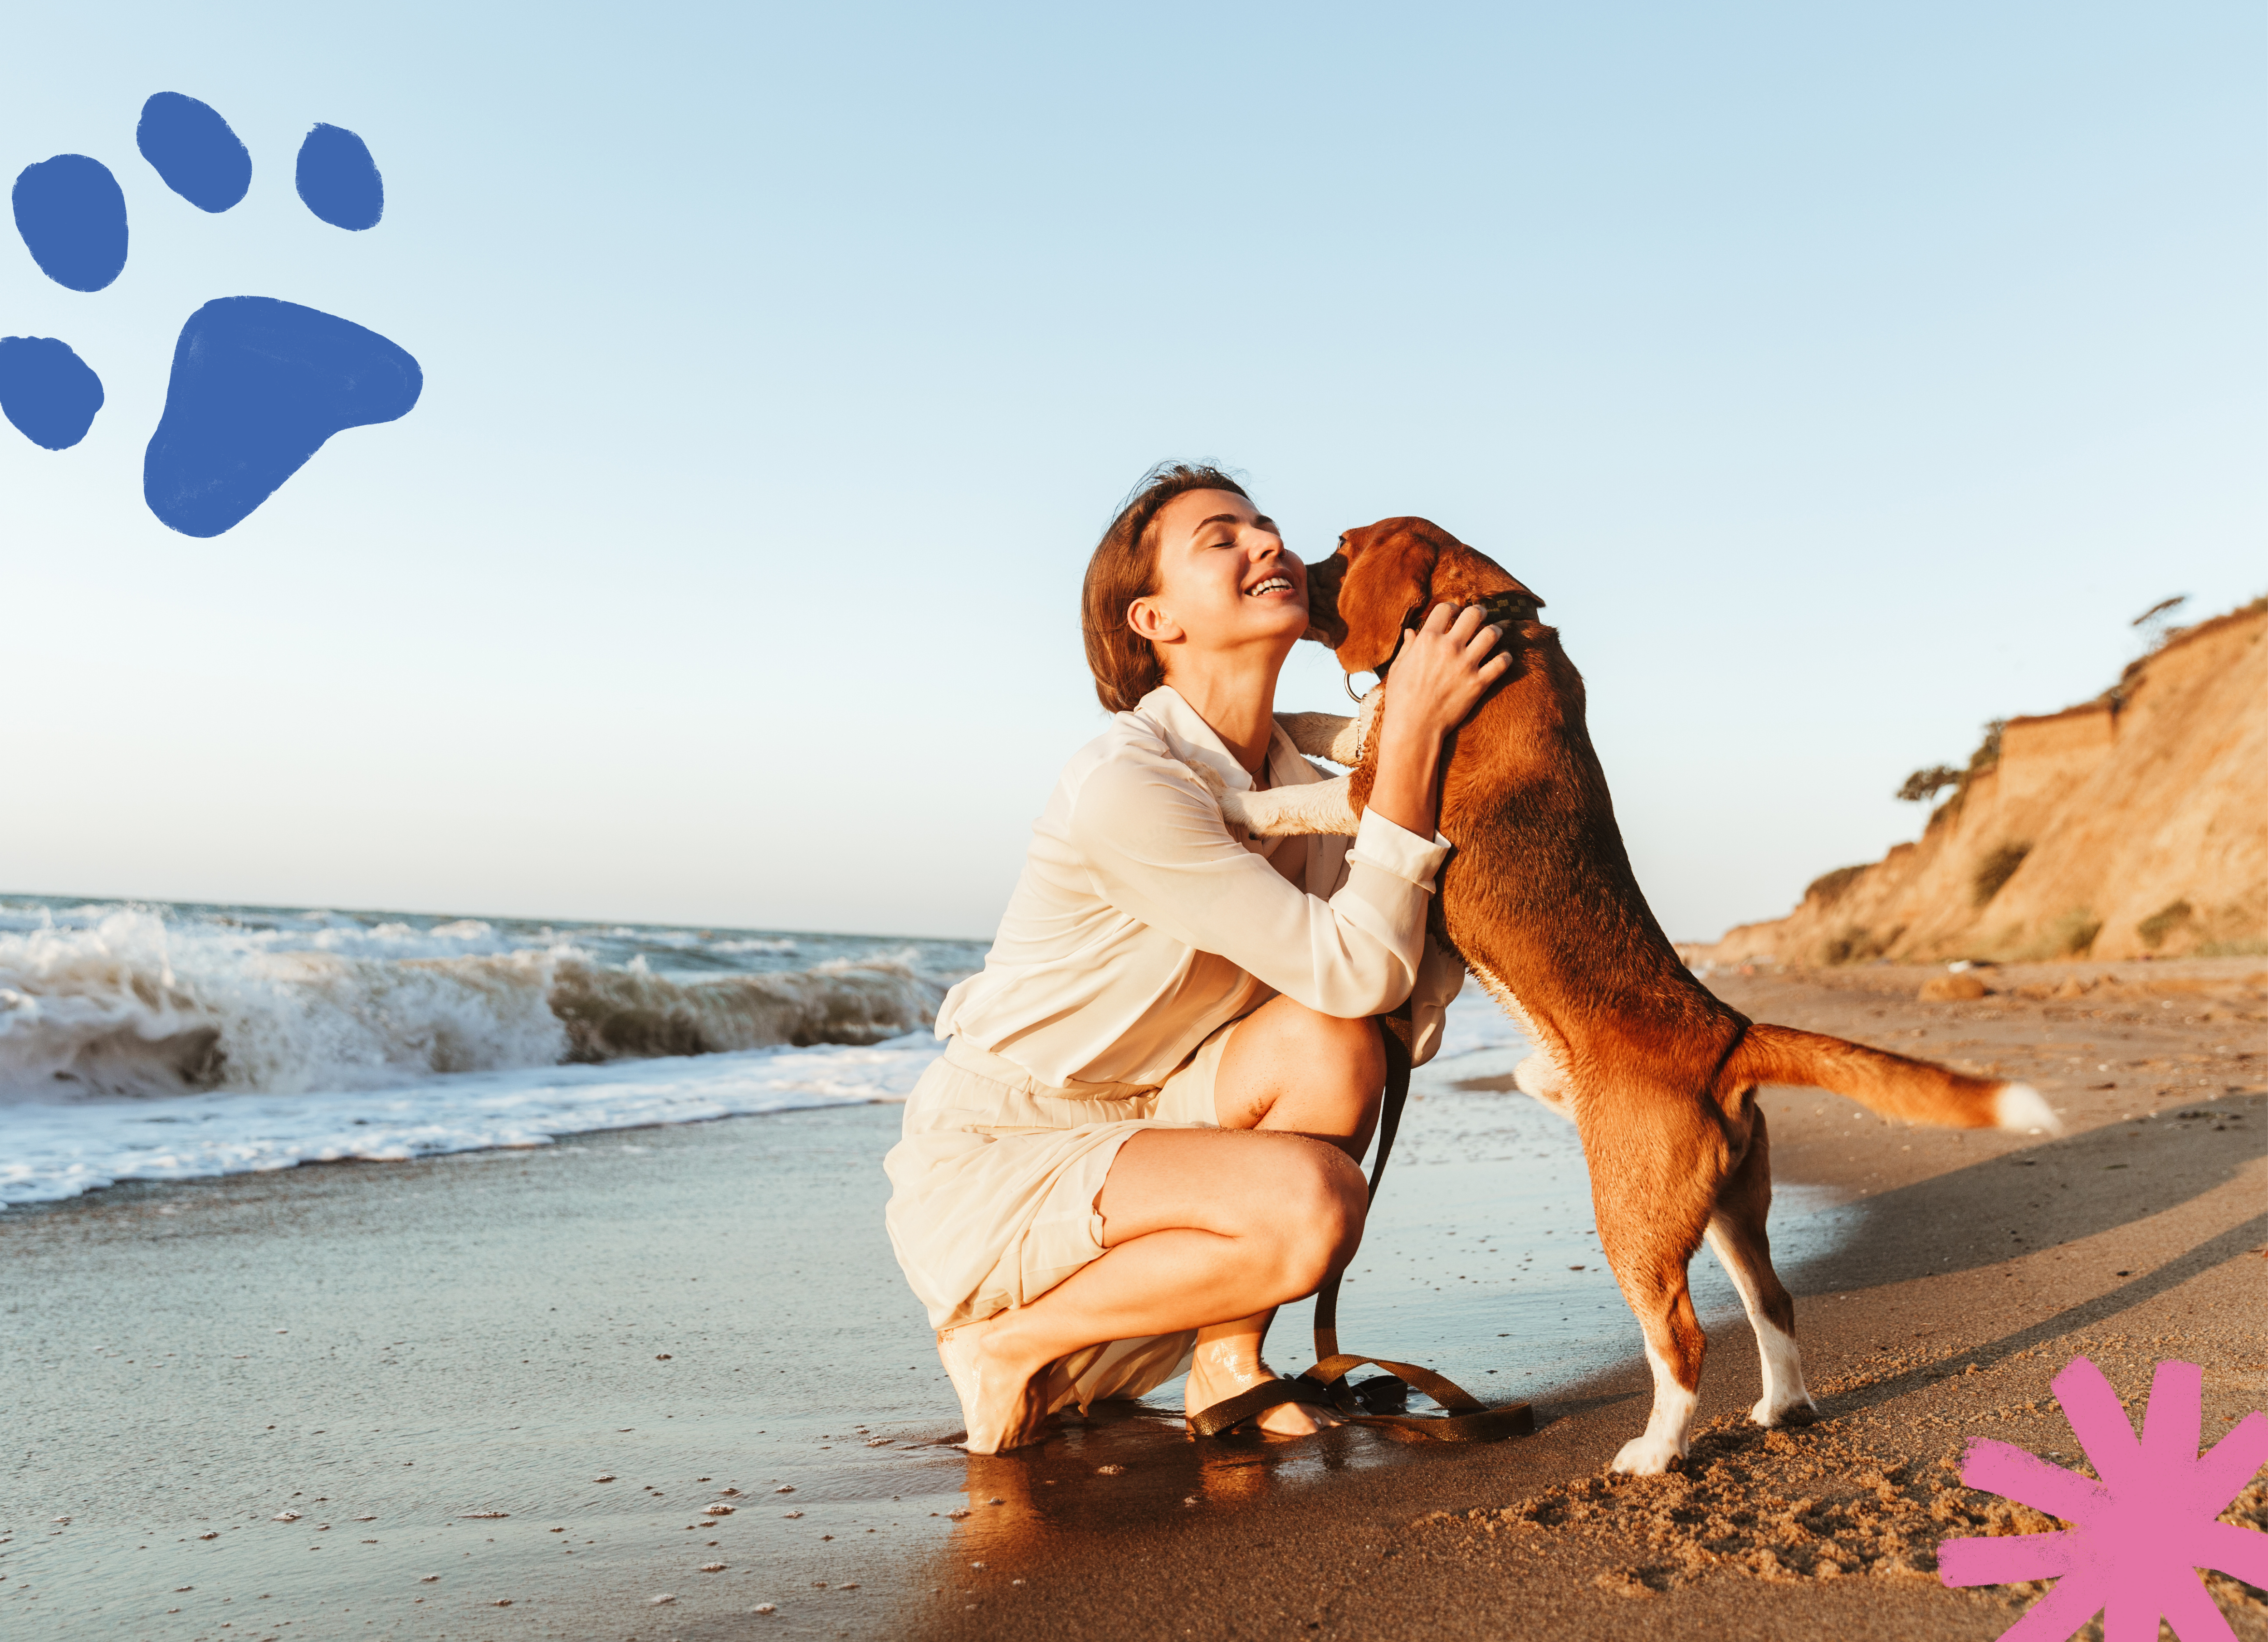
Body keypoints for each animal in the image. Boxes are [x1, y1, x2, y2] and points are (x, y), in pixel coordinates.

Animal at [1216, 517, 2068, 1478]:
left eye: (1340, 548)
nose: (1288, 572)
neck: (1497, 615)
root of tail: (1727, 1034)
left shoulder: (1373, 795)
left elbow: (1303, 792)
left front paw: (1240, 802)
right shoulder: (1373, 747)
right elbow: (1331, 724)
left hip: (1632, 1218)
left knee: (1684, 1340)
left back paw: (1656, 1451)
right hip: (1731, 1206)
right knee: (1775, 1302)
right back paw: (1782, 1405)